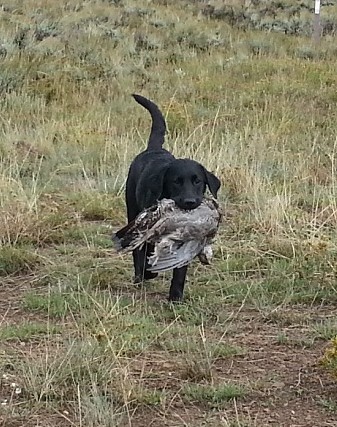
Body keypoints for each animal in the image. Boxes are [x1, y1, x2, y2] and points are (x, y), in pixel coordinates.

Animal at [123, 94, 220, 300]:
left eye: (198, 181)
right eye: (176, 182)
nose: (190, 202)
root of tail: (153, 149)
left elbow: (180, 270)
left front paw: (175, 296)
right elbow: (146, 251)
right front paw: (148, 272)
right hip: (132, 210)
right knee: (137, 250)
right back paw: (140, 275)